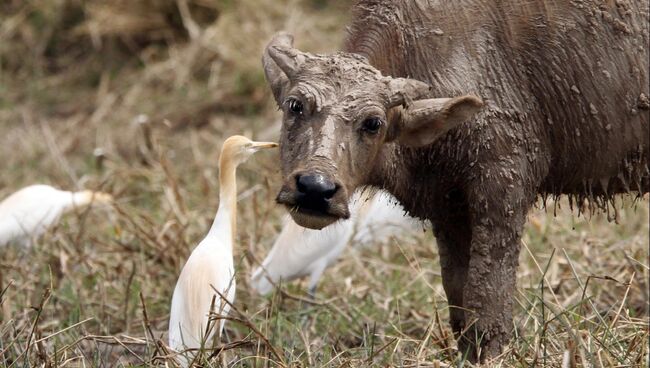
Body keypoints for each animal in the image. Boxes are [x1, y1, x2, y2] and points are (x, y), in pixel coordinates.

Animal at [260, 0, 644, 362]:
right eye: (295, 105)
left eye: (373, 123)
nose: (315, 188)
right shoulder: (447, 205)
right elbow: (458, 293)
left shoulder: (503, 184)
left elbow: (487, 293)